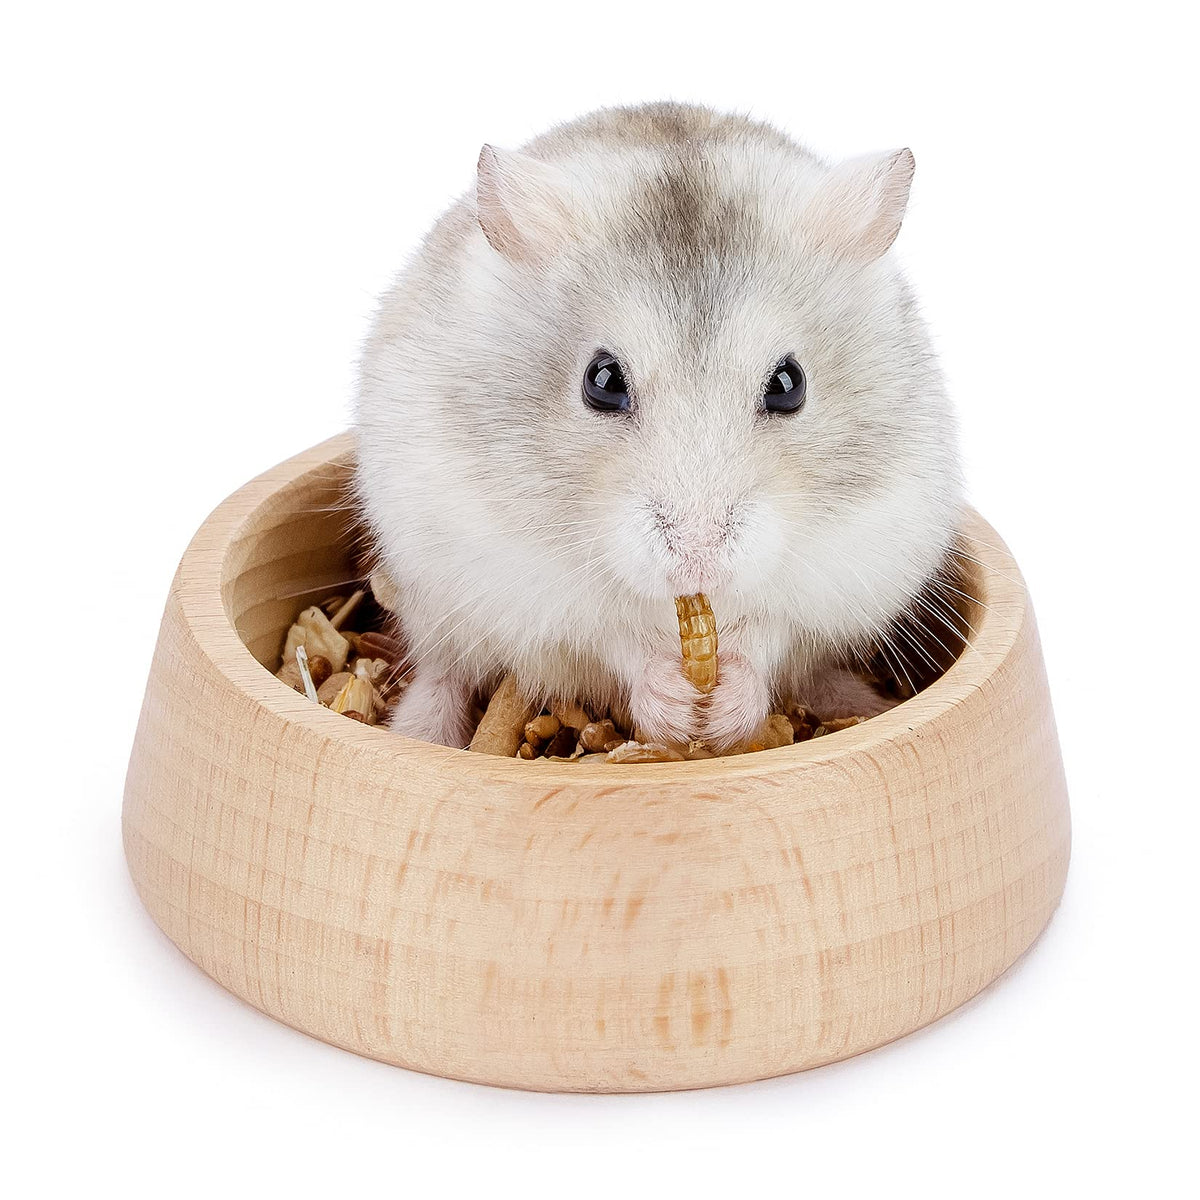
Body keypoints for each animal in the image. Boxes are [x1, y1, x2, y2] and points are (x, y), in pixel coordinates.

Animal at [354, 102, 962, 750]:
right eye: (601, 380)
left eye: (789, 382)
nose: (698, 562)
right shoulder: (527, 588)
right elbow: (613, 638)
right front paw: (676, 707)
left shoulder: (855, 561)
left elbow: (772, 633)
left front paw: (721, 711)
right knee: (443, 671)